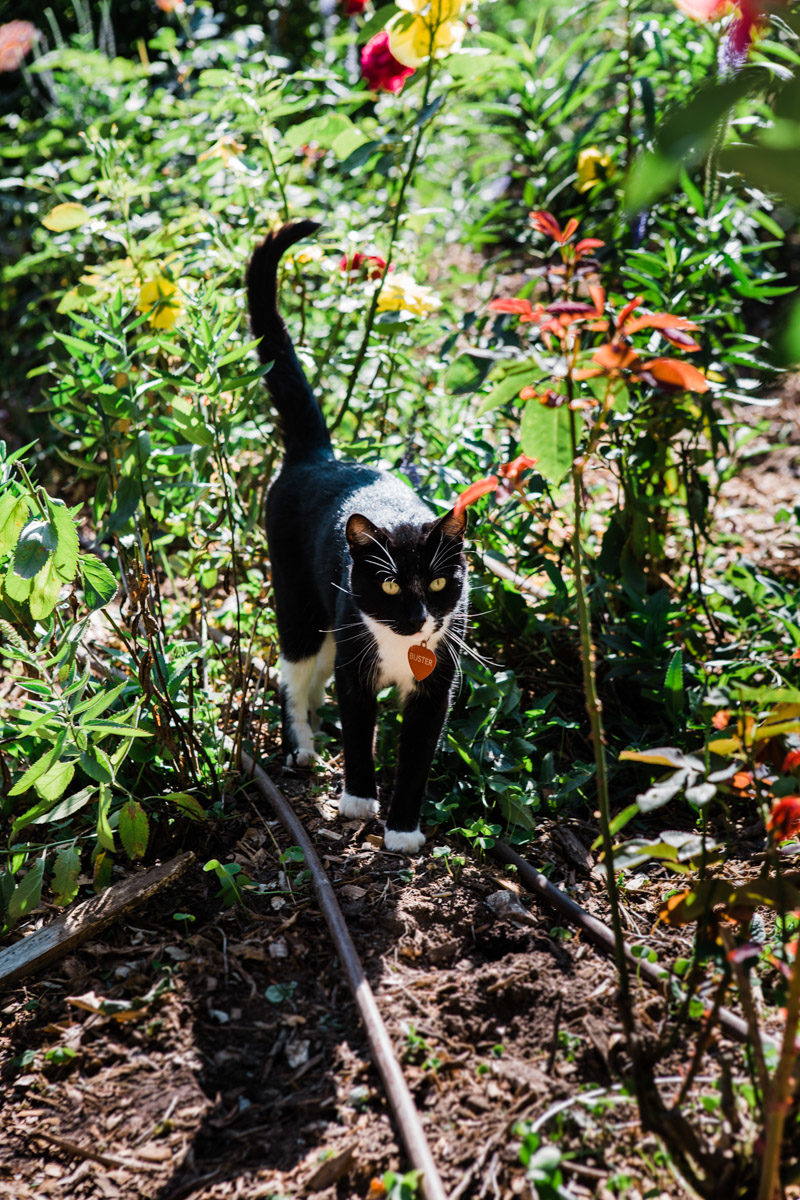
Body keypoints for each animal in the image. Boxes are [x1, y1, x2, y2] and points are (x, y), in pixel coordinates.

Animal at [245, 218, 470, 854]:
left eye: (439, 583)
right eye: (391, 588)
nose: (419, 619)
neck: (400, 650)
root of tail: (319, 456)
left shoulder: (438, 683)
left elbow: (417, 755)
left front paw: (403, 830)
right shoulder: (355, 663)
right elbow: (359, 730)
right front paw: (358, 801)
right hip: (301, 603)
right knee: (294, 673)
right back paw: (301, 748)